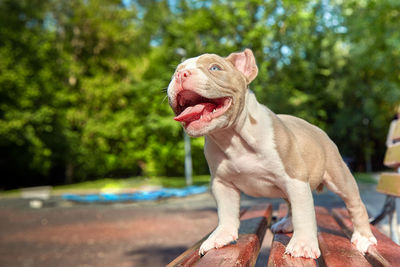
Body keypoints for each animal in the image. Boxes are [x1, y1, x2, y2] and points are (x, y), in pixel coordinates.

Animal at [166, 48, 378, 260]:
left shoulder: (295, 178)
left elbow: (304, 213)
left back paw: (363, 237)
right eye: (176, 70)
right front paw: (221, 236)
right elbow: (226, 212)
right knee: (291, 205)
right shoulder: (222, 183)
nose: (181, 74)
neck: (232, 137)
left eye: (215, 68)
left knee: (355, 204)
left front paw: (303, 244)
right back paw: (286, 224)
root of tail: (319, 131)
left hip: (339, 176)